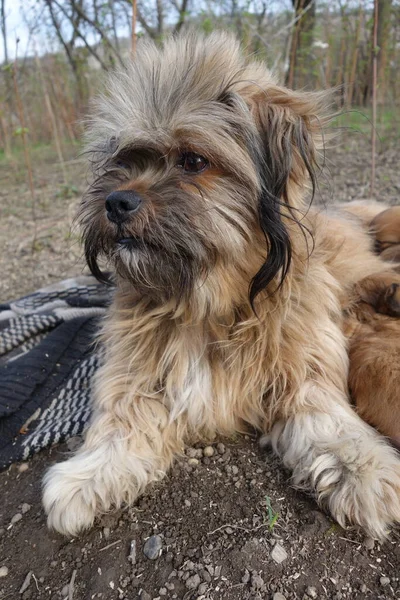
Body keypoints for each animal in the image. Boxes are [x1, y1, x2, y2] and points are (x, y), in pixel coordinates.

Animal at [43, 31, 400, 540]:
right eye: (123, 161)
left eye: (193, 160)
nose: (116, 202)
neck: (206, 302)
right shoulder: (135, 372)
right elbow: (122, 419)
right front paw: (88, 474)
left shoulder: (302, 362)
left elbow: (322, 416)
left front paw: (361, 468)